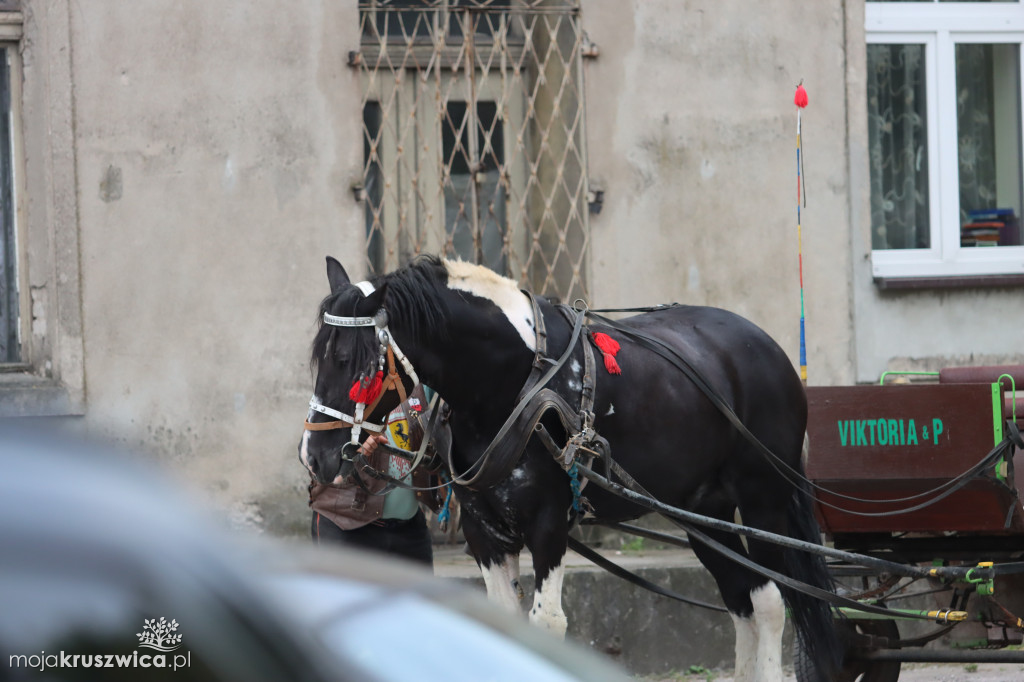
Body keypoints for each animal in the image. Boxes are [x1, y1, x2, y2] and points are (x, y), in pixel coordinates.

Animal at [299, 254, 839, 679]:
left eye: (350, 361)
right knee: (741, 599)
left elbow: (547, 623)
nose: (314, 455)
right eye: (318, 359)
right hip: (705, 514)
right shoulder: (483, 530)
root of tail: (764, 345)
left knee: (770, 603)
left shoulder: (548, 521)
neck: (510, 382)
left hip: (763, 500)